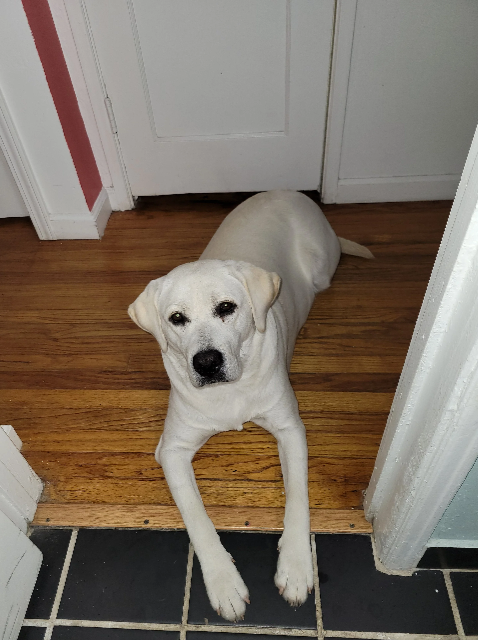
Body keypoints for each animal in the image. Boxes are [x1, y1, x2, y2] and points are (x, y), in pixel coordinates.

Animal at [128, 190, 373, 621]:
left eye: (227, 308)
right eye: (176, 318)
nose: (207, 362)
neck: (231, 392)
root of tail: (287, 193)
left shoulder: (290, 429)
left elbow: (298, 494)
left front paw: (295, 567)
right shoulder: (171, 450)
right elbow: (196, 517)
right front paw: (224, 583)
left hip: (322, 266)